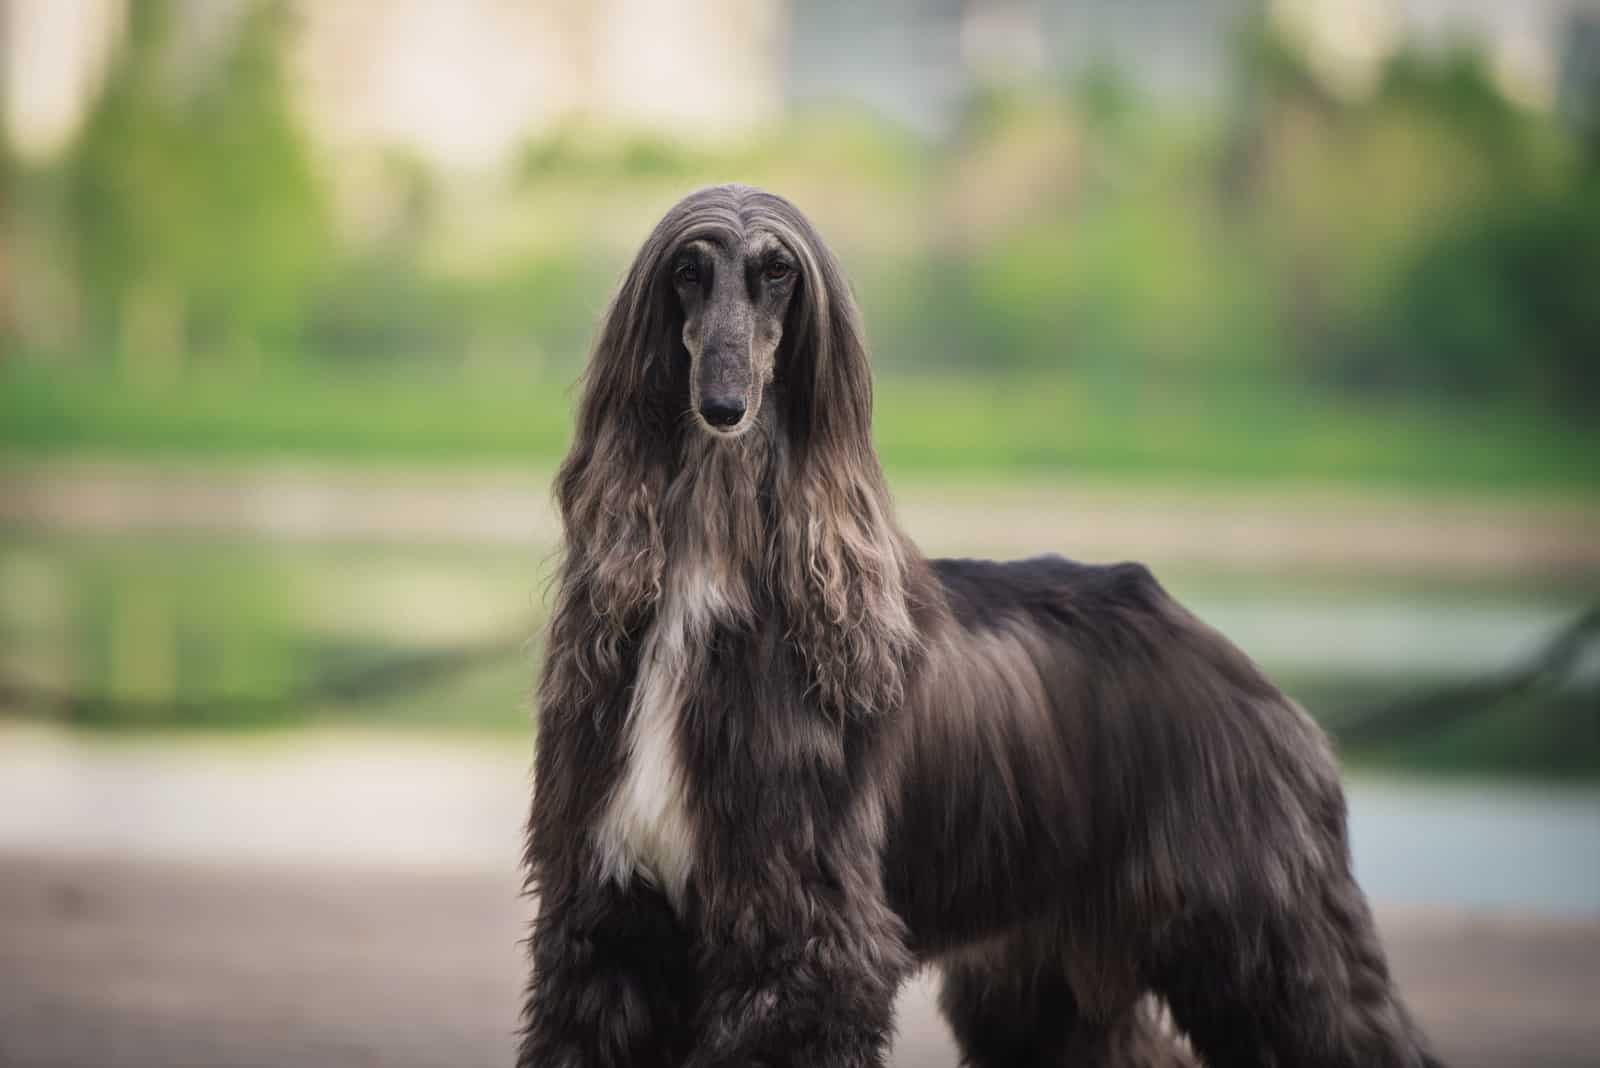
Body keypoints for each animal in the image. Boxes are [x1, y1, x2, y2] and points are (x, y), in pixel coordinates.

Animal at [518, 185, 1446, 1068]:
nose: (723, 405)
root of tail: (1239, 664)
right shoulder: (610, 920)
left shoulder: (805, 930)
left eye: (778, 271)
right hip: (1048, 960)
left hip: (1261, 922)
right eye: (688, 271)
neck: (715, 557)